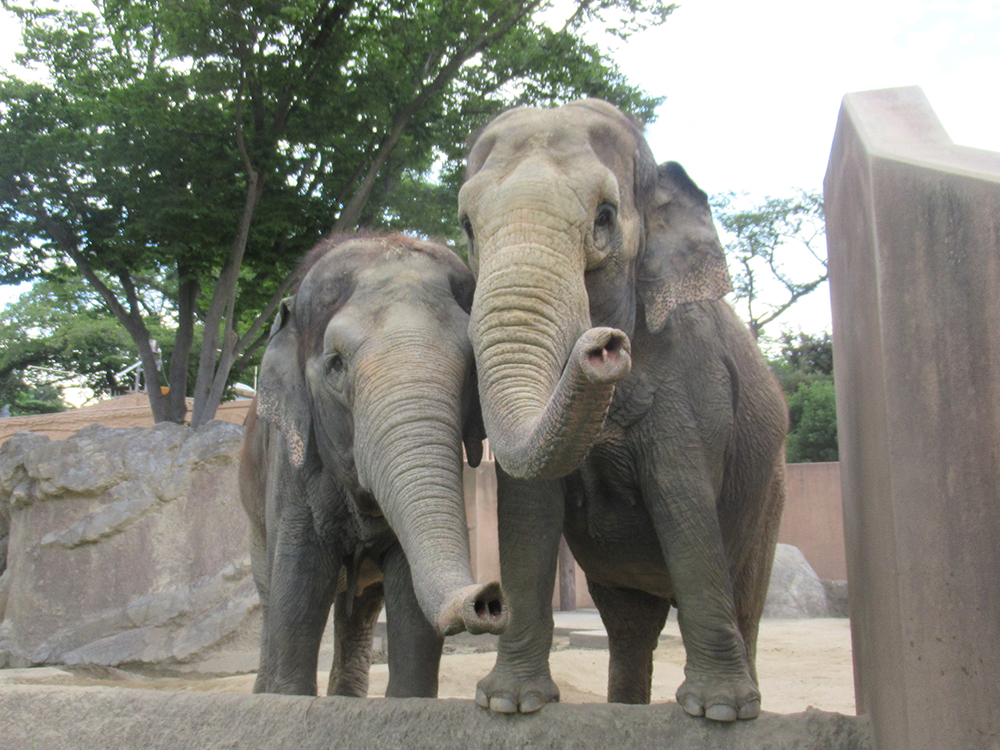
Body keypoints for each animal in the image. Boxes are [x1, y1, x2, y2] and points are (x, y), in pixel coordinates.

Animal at [238, 234, 508, 700]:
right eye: (335, 364)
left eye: (473, 365)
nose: (489, 598)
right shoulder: (290, 464)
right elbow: (297, 582)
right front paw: (286, 696)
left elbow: (410, 604)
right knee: (272, 596)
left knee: (360, 609)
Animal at [458, 100, 788, 724]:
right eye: (466, 225)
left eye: (605, 217)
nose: (603, 345)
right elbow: (527, 513)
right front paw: (509, 703)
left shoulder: (693, 384)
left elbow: (684, 505)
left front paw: (718, 712)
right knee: (630, 626)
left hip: (770, 495)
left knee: (746, 599)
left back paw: (746, 709)